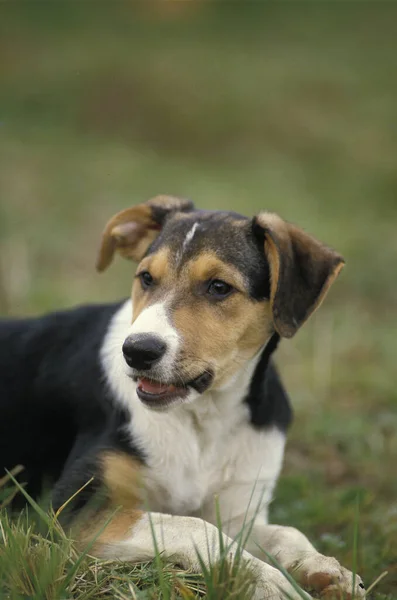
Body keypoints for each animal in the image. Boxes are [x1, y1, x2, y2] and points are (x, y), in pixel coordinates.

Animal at [0, 195, 366, 596]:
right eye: (146, 278)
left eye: (219, 287)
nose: (137, 351)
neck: (202, 417)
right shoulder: (69, 511)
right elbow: (194, 527)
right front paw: (264, 581)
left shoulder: (238, 513)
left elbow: (286, 532)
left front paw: (324, 567)